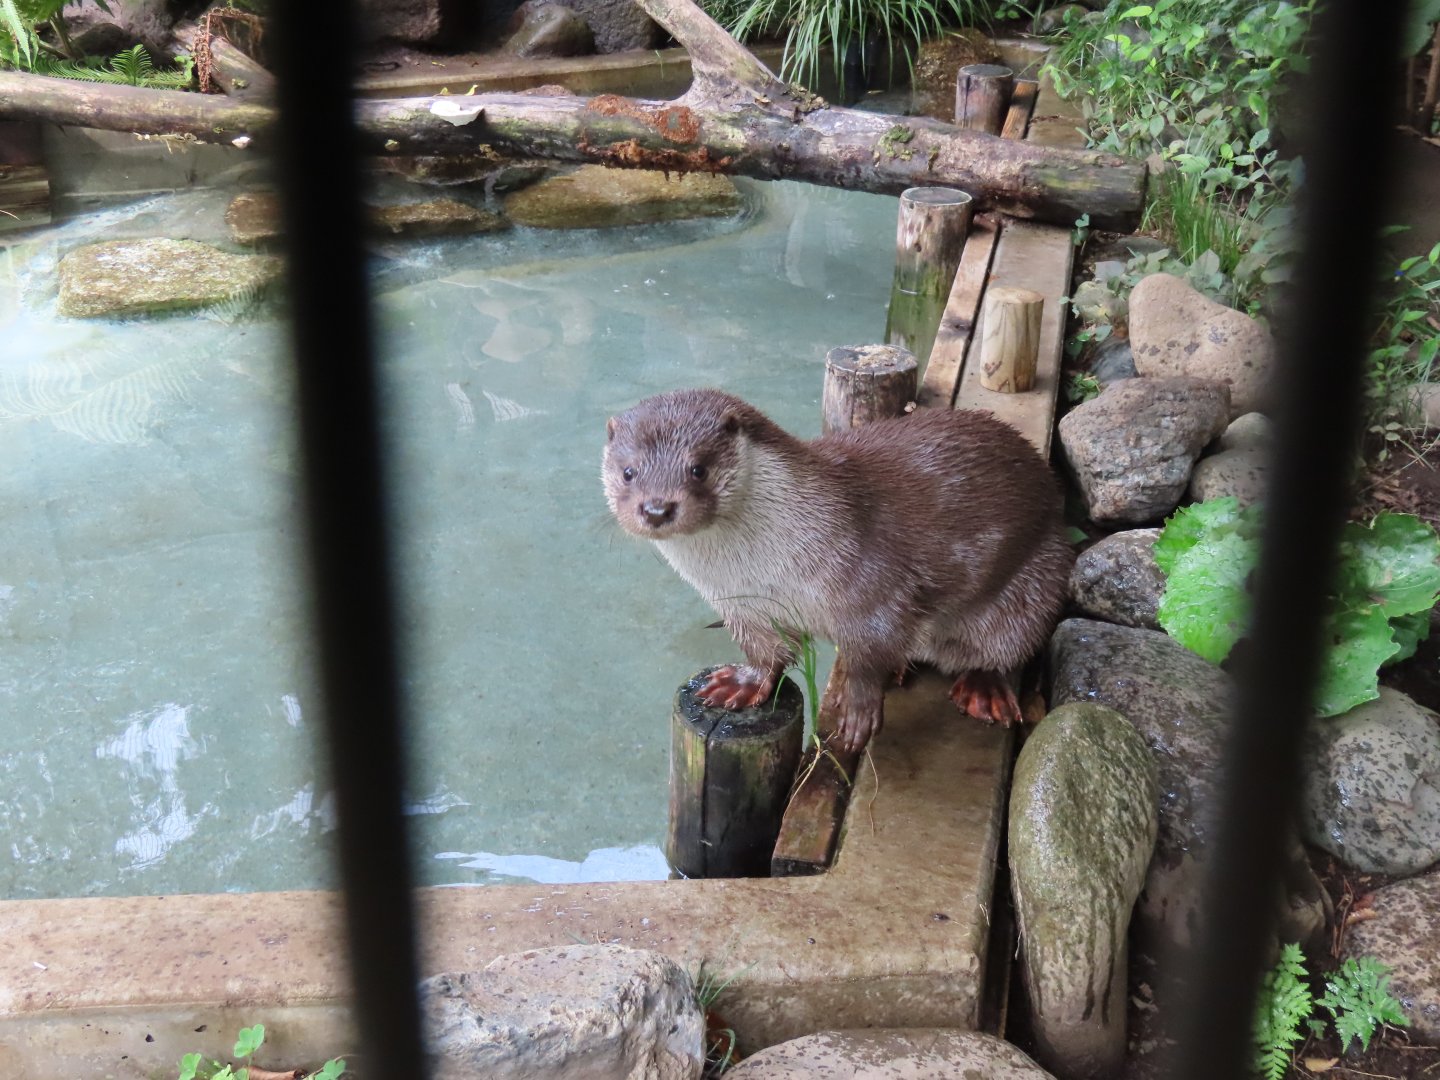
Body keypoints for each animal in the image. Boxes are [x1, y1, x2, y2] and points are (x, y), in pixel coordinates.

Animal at [602, 388, 1072, 752]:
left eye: (698, 468)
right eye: (628, 472)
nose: (657, 508)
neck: (766, 571)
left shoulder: (873, 586)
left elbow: (868, 655)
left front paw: (858, 710)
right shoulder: (744, 608)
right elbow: (766, 653)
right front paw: (741, 683)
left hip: (1037, 584)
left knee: (1006, 648)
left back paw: (983, 687)